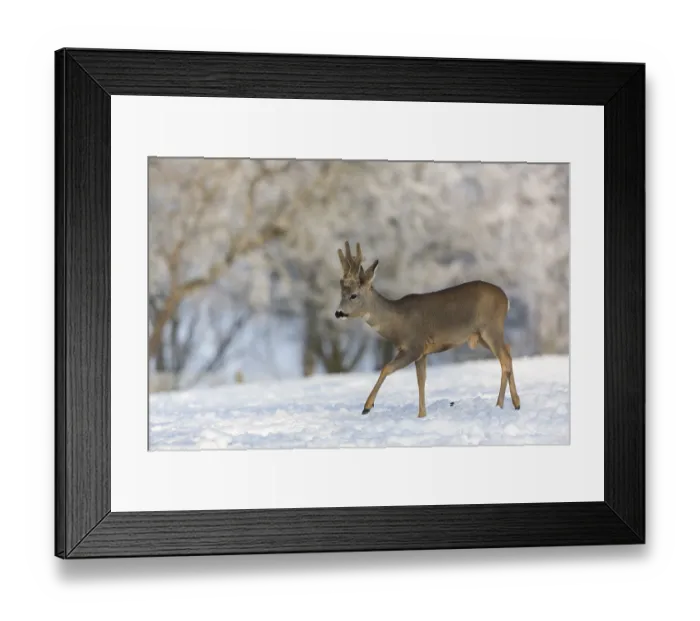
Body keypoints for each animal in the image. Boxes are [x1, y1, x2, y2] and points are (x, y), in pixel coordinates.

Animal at [334, 241, 521, 418]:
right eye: (341, 294)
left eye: (353, 295)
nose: (338, 312)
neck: (397, 323)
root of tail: (506, 299)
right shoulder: (422, 353)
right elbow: (421, 380)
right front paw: (421, 415)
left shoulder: (414, 346)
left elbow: (386, 368)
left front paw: (367, 406)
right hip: (481, 335)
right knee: (508, 352)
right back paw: (508, 403)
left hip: (491, 327)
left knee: (505, 358)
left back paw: (508, 403)